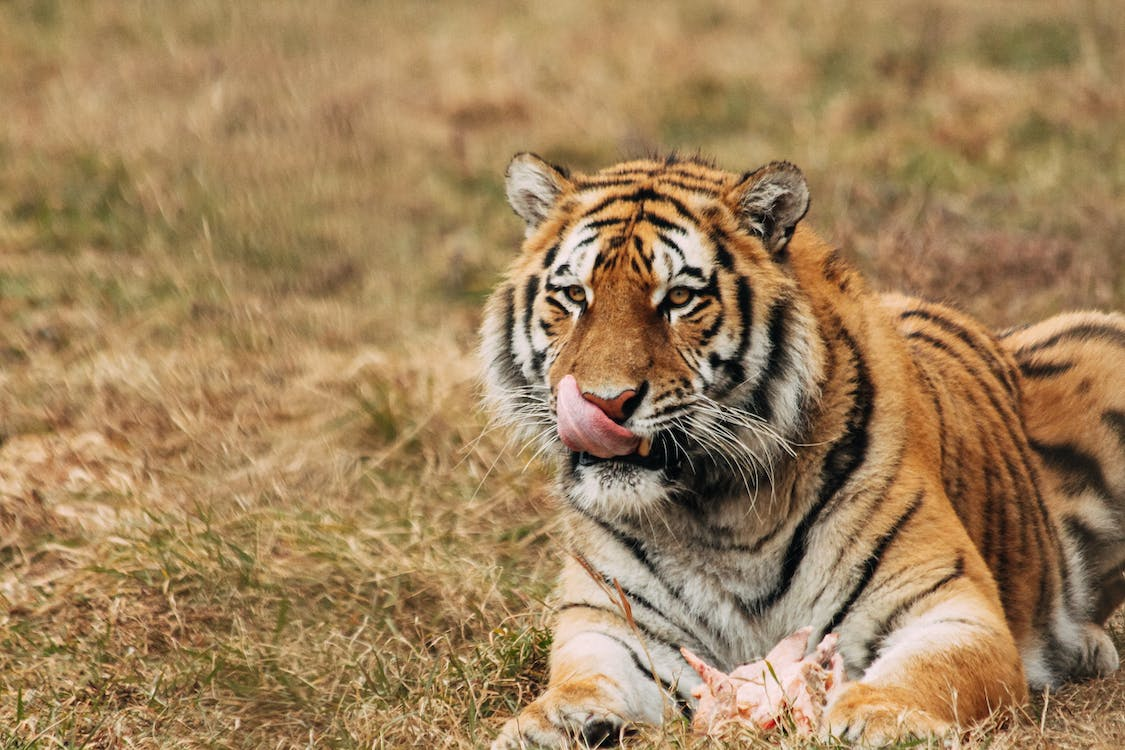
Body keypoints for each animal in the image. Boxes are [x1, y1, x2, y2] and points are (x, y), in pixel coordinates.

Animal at [479, 150, 1120, 746]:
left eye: (680, 298)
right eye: (573, 294)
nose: (604, 402)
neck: (716, 511)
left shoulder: (948, 605)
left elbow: (924, 674)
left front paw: (876, 719)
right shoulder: (609, 622)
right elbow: (586, 680)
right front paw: (545, 724)